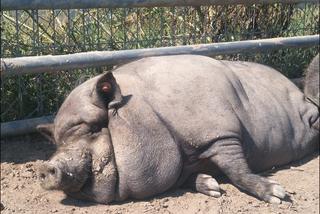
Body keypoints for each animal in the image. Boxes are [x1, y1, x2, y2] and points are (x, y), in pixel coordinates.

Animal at [37, 54, 318, 205]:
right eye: (59, 142)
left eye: (93, 129)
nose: (45, 167)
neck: (153, 115)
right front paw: (211, 186)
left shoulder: (221, 133)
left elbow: (237, 169)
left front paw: (278, 195)